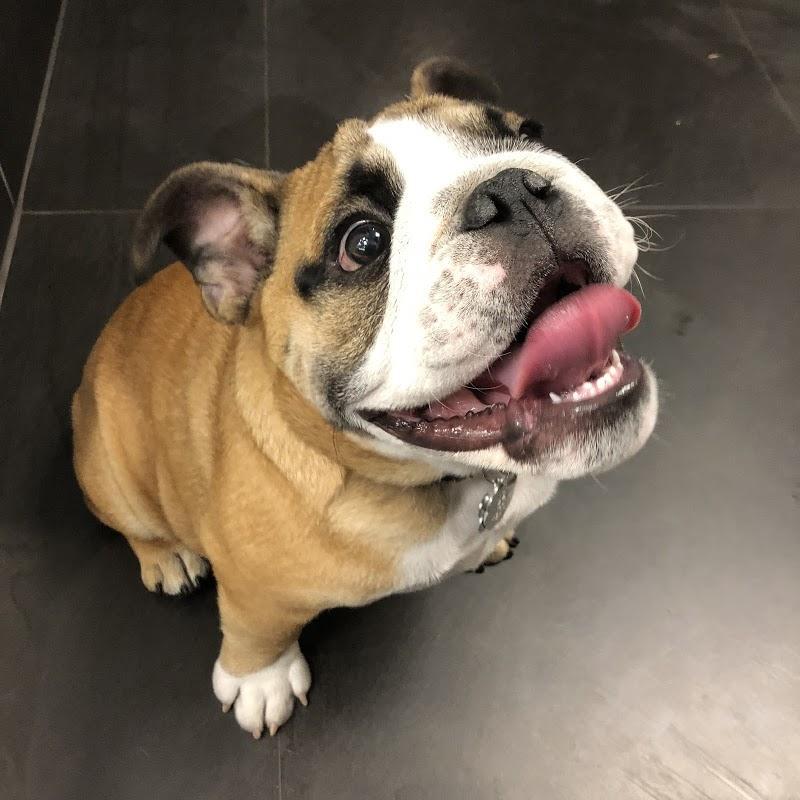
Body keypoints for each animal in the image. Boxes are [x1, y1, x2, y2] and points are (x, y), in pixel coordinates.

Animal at [72, 58, 657, 738]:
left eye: (529, 133)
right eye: (364, 243)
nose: (511, 188)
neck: (447, 480)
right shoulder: (253, 587)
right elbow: (255, 629)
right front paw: (260, 681)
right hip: (110, 470)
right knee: (131, 522)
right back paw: (166, 557)